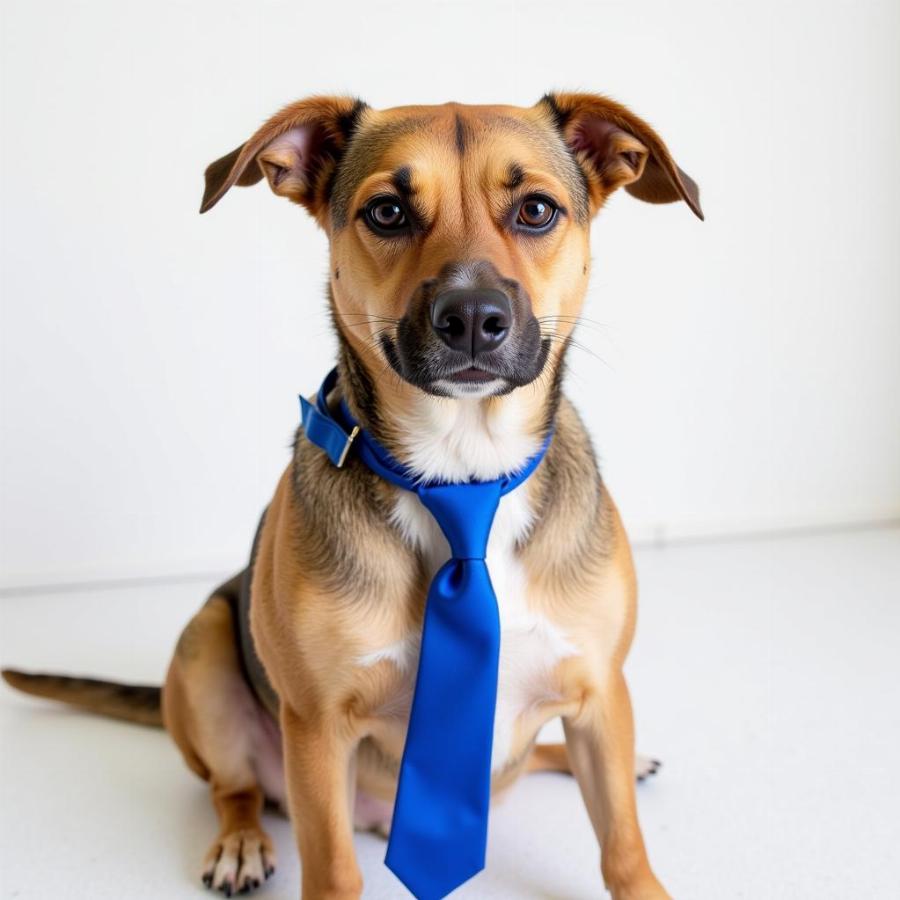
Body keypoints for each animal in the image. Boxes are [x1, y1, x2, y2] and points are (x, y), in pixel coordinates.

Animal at [1, 93, 704, 900]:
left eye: (535, 209)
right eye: (389, 212)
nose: (472, 317)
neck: (464, 477)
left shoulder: (600, 690)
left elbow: (621, 841)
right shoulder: (315, 726)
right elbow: (331, 866)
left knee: (531, 761)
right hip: (206, 647)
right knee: (233, 789)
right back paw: (240, 842)